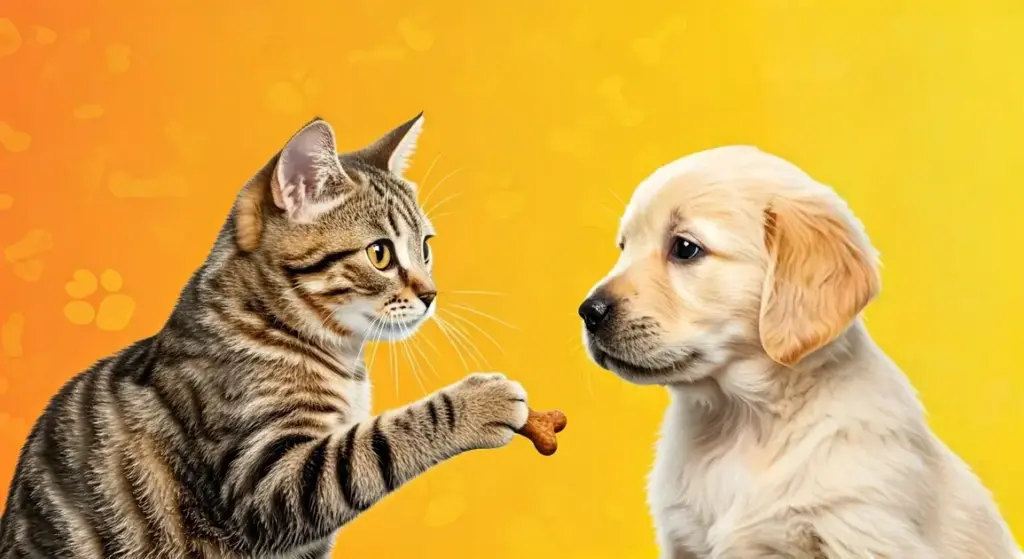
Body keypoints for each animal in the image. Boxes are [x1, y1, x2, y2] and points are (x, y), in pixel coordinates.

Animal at [0, 115, 528, 552]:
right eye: (379, 253)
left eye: (426, 247)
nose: (432, 294)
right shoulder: (263, 480)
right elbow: (370, 447)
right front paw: (478, 403)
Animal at [581, 146, 1019, 556]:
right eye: (623, 246)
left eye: (685, 248)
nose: (588, 312)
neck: (742, 422)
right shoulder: (684, 539)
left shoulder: (862, 528)